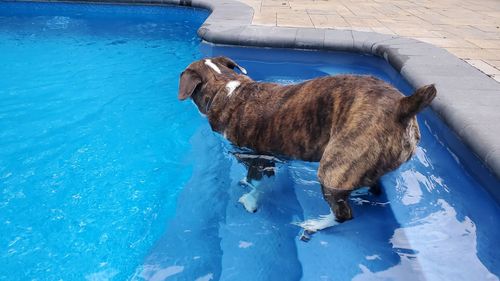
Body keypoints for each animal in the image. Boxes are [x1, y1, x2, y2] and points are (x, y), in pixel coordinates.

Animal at [178, 55, 436, 231]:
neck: (225, 87)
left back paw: (316, 224)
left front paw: (250, 199)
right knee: (372, 186)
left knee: (344, 213)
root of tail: (402, 106)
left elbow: (255, 183)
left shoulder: (256, 157)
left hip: (335, 167)